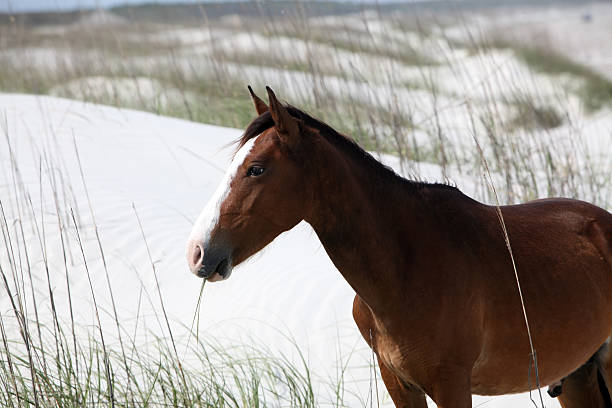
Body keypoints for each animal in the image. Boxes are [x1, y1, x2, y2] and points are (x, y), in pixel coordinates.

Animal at [184, 85, 612, 404]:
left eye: (256, 169)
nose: (197, 253)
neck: (407, 266)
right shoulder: (399, 383)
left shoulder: (452, 386)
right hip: (577, 377)